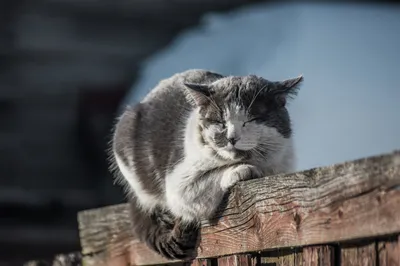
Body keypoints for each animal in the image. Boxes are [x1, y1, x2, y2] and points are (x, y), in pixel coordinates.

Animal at [109, 69, 304, 262]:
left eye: (250, 120)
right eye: (220, 122)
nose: (231, 138)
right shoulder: (179, 183)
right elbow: (211, 177)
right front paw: (242, 170)